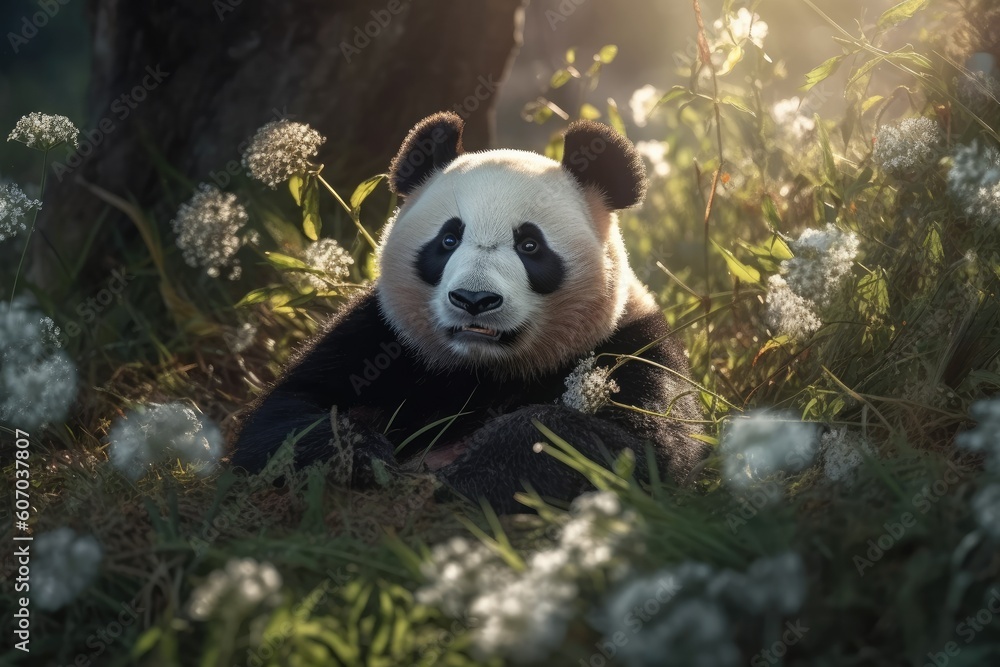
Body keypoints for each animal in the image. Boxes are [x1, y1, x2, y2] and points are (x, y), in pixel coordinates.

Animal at [231, 112, 707, 513]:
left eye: (529, 244)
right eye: (448, 239)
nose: (474, 300)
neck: (483, 369)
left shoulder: (630, 344)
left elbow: (640, 447)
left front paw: (467, 477)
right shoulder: (379, 334)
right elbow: (287, 414)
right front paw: (365, 459)